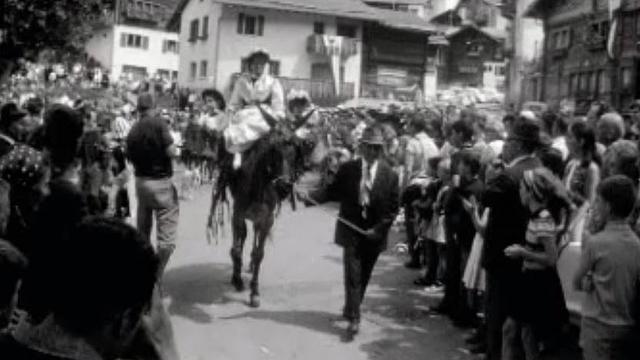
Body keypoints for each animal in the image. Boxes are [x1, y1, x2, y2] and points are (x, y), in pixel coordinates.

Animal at [209, 125, 302, 308]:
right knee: (242, 238)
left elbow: (260, 254)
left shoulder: (267, 220)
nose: (284, 187)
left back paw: (250, 264)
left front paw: (254, 292)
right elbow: (237, 249)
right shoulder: (238, 214)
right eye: (275, 153)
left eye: (294, 154)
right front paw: (237, 279)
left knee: (254, 237)